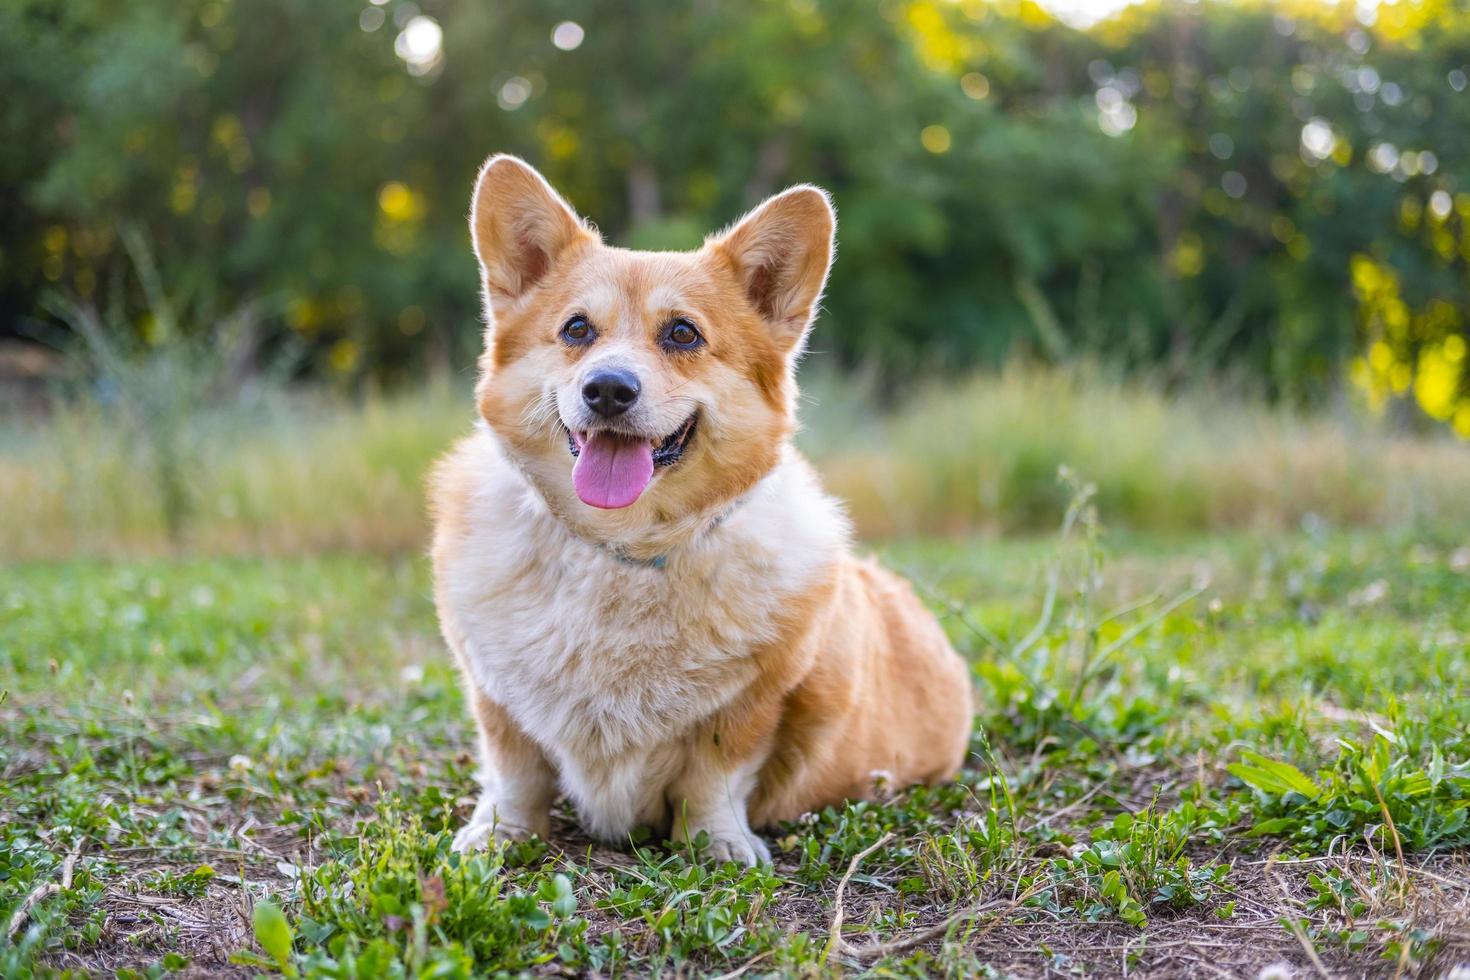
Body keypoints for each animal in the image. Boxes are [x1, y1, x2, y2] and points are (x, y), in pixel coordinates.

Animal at [429, 155, 970, 863]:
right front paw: (498, 835)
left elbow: (714, 775)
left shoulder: (754, 704)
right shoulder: (496, 698)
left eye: (683, 334)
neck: (623, 548)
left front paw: (716, 845)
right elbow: (514, 770)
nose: (608, 389)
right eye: (577, 329)